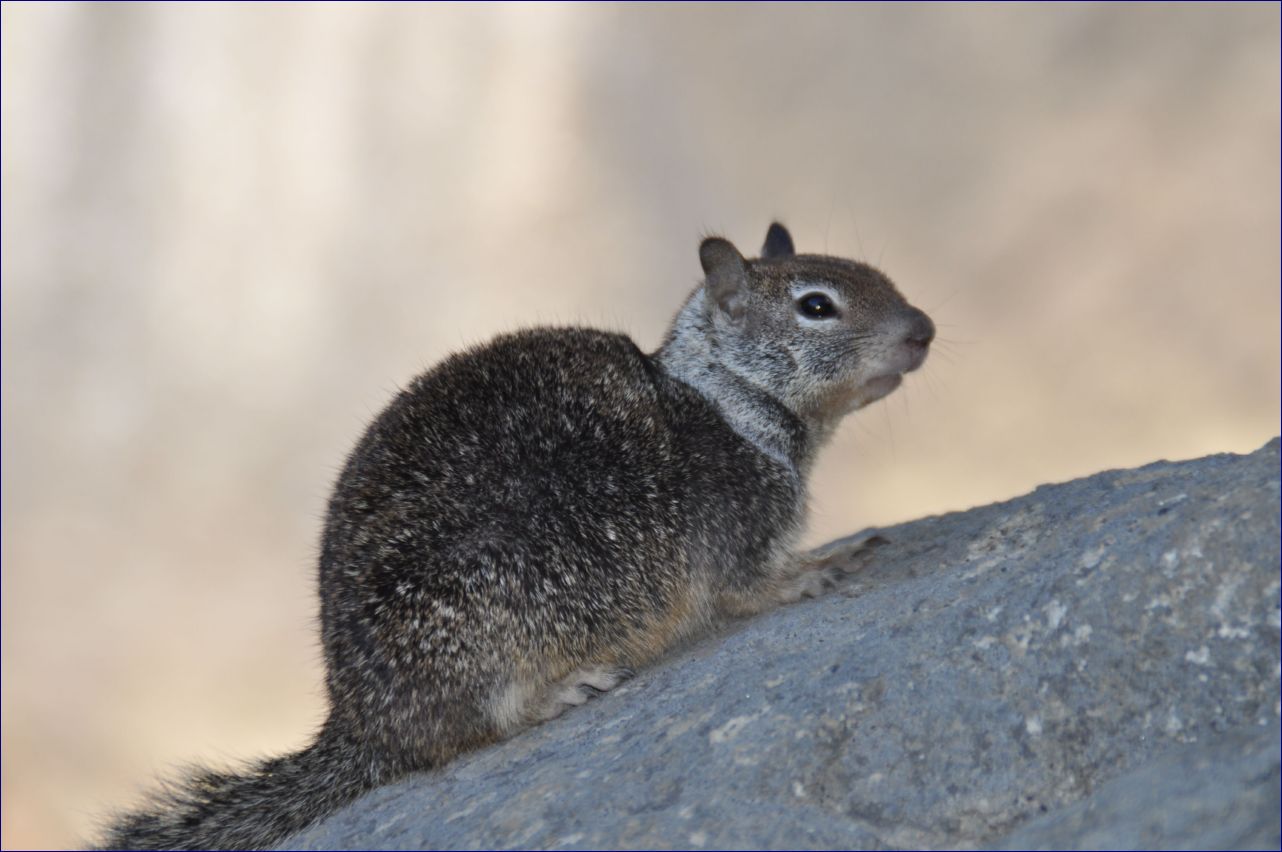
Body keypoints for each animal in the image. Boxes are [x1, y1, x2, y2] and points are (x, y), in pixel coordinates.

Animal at [92, 222, 933, 845]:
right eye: (817, 306)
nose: (923, 329)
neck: (723, 395)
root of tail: (359, 721)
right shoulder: (740, 535)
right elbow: (758, 585)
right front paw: (826, 562)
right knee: (486, 724)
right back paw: (566, 688)